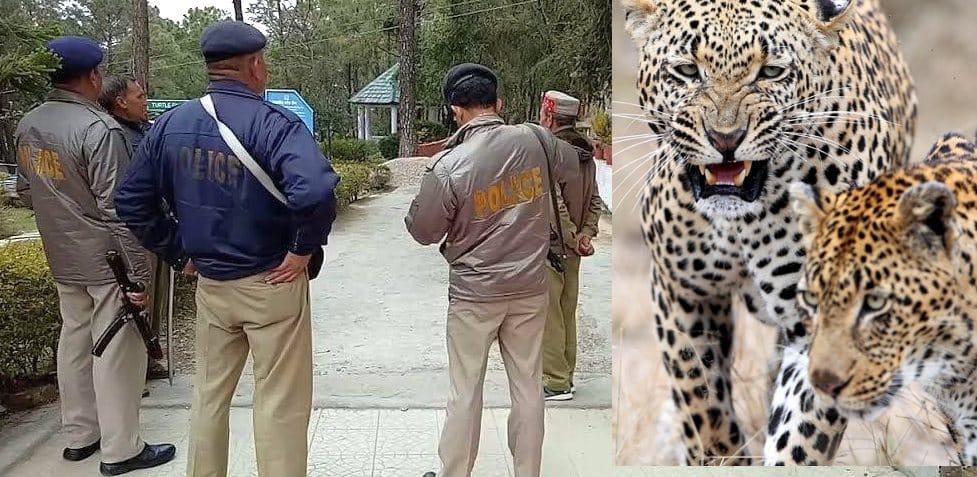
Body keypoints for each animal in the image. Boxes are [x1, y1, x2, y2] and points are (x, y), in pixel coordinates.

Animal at [620, 0, 917, 465]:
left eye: (771, 72)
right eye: (687, 71)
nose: (725, 139)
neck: (739, 223)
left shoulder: (827, 321)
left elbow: (801, 434)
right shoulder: (680, 290)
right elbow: (701, 401)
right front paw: (716, 456)